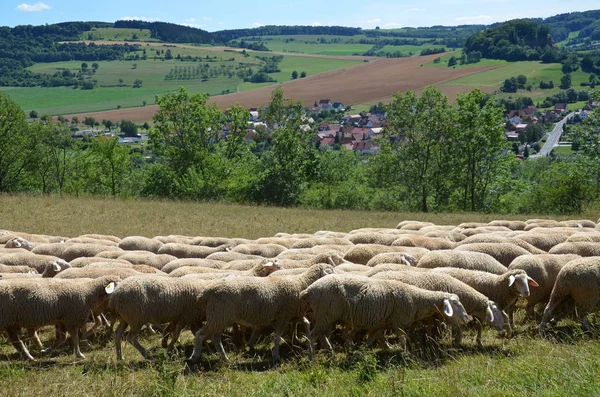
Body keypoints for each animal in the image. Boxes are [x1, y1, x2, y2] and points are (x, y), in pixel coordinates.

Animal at [190, 262, 336, 362]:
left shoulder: (295, 314)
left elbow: (306, 324)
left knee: (215, 337)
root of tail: (207, 291)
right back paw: (195, 356)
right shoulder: (283, 316)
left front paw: (308, 344)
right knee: (200, 334)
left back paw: (225, 358)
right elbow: (278, 335)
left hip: (220, 316)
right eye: (330, 271)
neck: (300, 284)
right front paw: (275, 354)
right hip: (219, 315)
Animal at [302, 274, 472, 358]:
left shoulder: (381, 322)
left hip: (327, 316)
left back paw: (330, 352)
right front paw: (407, 353)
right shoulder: (397, 322)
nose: (466, 318)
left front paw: (385, 348)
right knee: (312, 336)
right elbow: (402, 338)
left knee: (322, 335)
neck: (415, 298)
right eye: (455, 303)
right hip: (325, 314)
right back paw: (311, 357)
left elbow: (378, 337)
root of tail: (309, 290)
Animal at [372, 270, 504, 344]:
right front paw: (456, 340)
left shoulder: (434, 313)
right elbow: (456, 326)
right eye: (495, 311)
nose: (503, 327)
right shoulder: (442, 313)